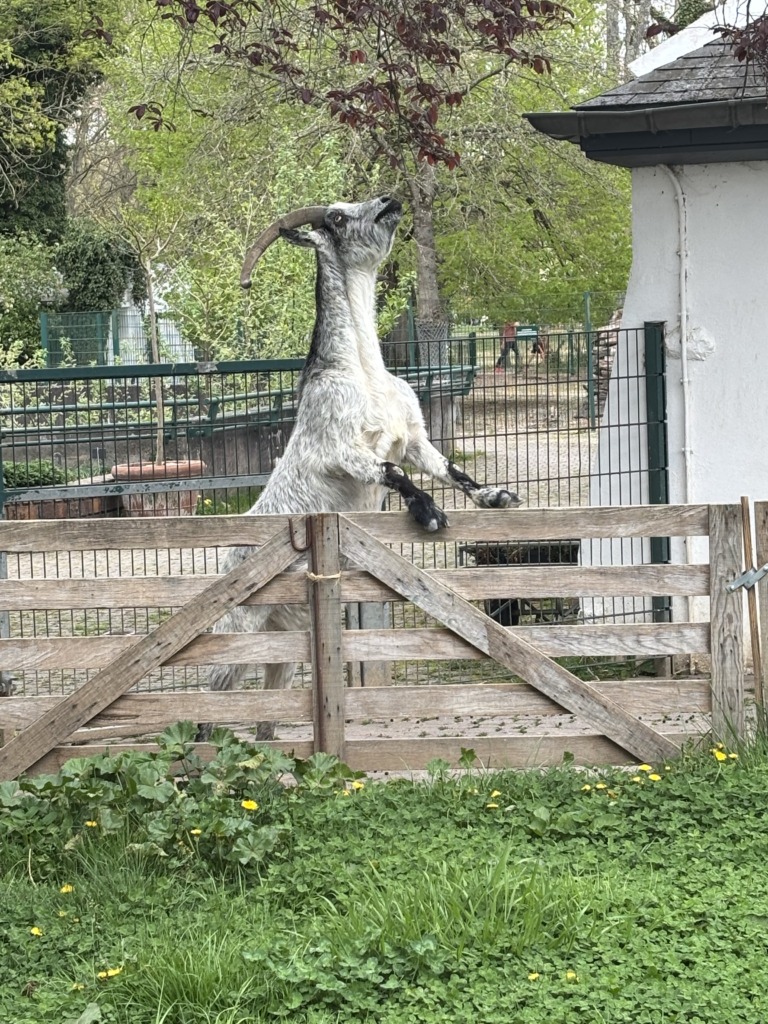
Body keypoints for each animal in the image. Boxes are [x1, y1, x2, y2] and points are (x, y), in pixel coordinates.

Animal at [197, 196, 521, 742]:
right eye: (336, 217)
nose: (390, 201)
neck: (362, 370)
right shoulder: (340, 449)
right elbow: (392, 472)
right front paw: (429, 514)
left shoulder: (414, 437)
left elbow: (449, 468)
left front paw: (496, 496)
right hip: (234, 634)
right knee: (204, 706)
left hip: (283, 641)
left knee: (267, 713)